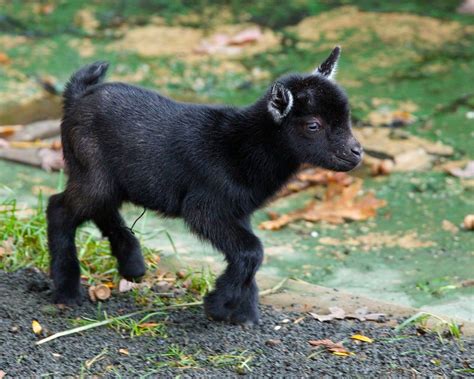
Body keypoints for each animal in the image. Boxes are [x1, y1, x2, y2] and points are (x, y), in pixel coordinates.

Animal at [48, 47, 362, 326]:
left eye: (346, 117)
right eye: (313, 125)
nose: (356, 152)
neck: (244, 146)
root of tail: (76, 97)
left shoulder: (239, 211)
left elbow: (249, 253)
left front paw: (244, 313)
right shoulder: (204, 206)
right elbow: (252, 250)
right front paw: (219, 306)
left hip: (105, 178)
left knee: (99, 209)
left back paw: (132, 264)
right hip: (93, 172)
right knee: (59, 208)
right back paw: (67, 290)